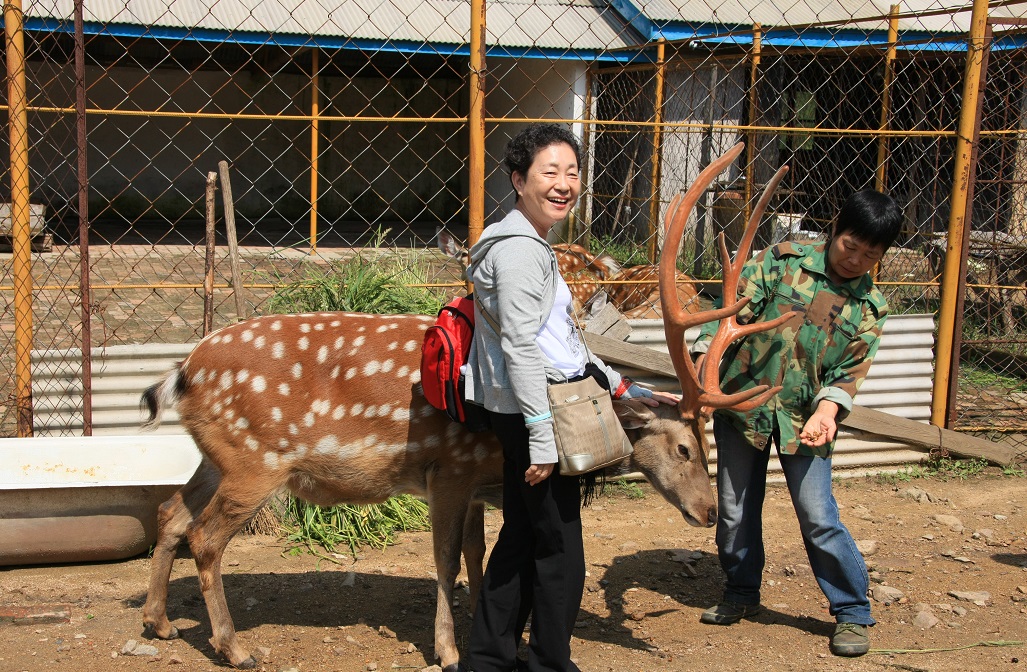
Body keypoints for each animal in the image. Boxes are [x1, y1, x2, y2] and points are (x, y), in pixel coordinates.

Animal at [138, 143, 784, 672]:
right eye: (684, 447)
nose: (707, 512)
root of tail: (183, 373)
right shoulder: (446, 467)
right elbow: (446, 559)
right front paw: (449, 651)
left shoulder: (475, 481)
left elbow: (479, 556)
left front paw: (490, 637)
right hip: (256, 458)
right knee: (206, 538)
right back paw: (235, 647)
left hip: (216, 455)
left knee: (170, 513)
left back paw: (159, 622)